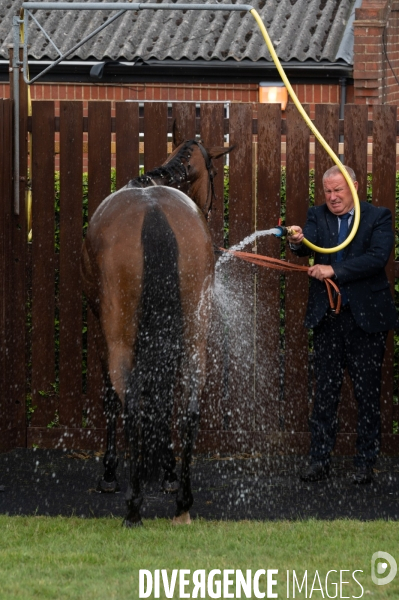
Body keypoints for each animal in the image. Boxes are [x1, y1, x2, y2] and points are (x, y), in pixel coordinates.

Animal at [80, 132, 231, 524]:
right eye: (213, 174)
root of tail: (153, 213)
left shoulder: (104, 335)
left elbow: (111, 397)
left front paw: (110, 472)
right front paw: (168, 472)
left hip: (120, 337)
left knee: (130, 401)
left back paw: (133, 505)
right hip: (194, 334)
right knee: (190, 405)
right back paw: (184, 501)